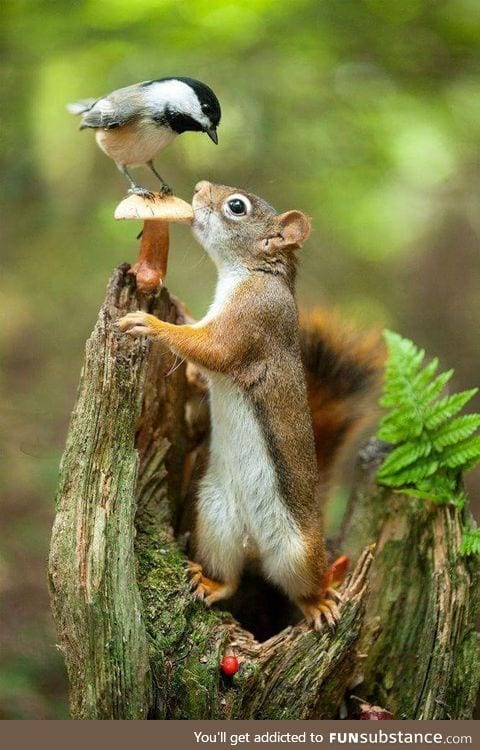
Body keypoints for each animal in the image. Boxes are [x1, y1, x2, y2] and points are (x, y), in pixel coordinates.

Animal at [116, 181, 382, 628]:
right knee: (231, 577)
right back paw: (211, 583)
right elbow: (201, 363)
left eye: (236, 207)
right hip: (215, 520)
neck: (251, 273)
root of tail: (255, 544)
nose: (198, 188)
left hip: (298, 551)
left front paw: (150, 324)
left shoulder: (252, 320)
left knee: (303, 586)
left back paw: (319, 602)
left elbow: (211, 350)